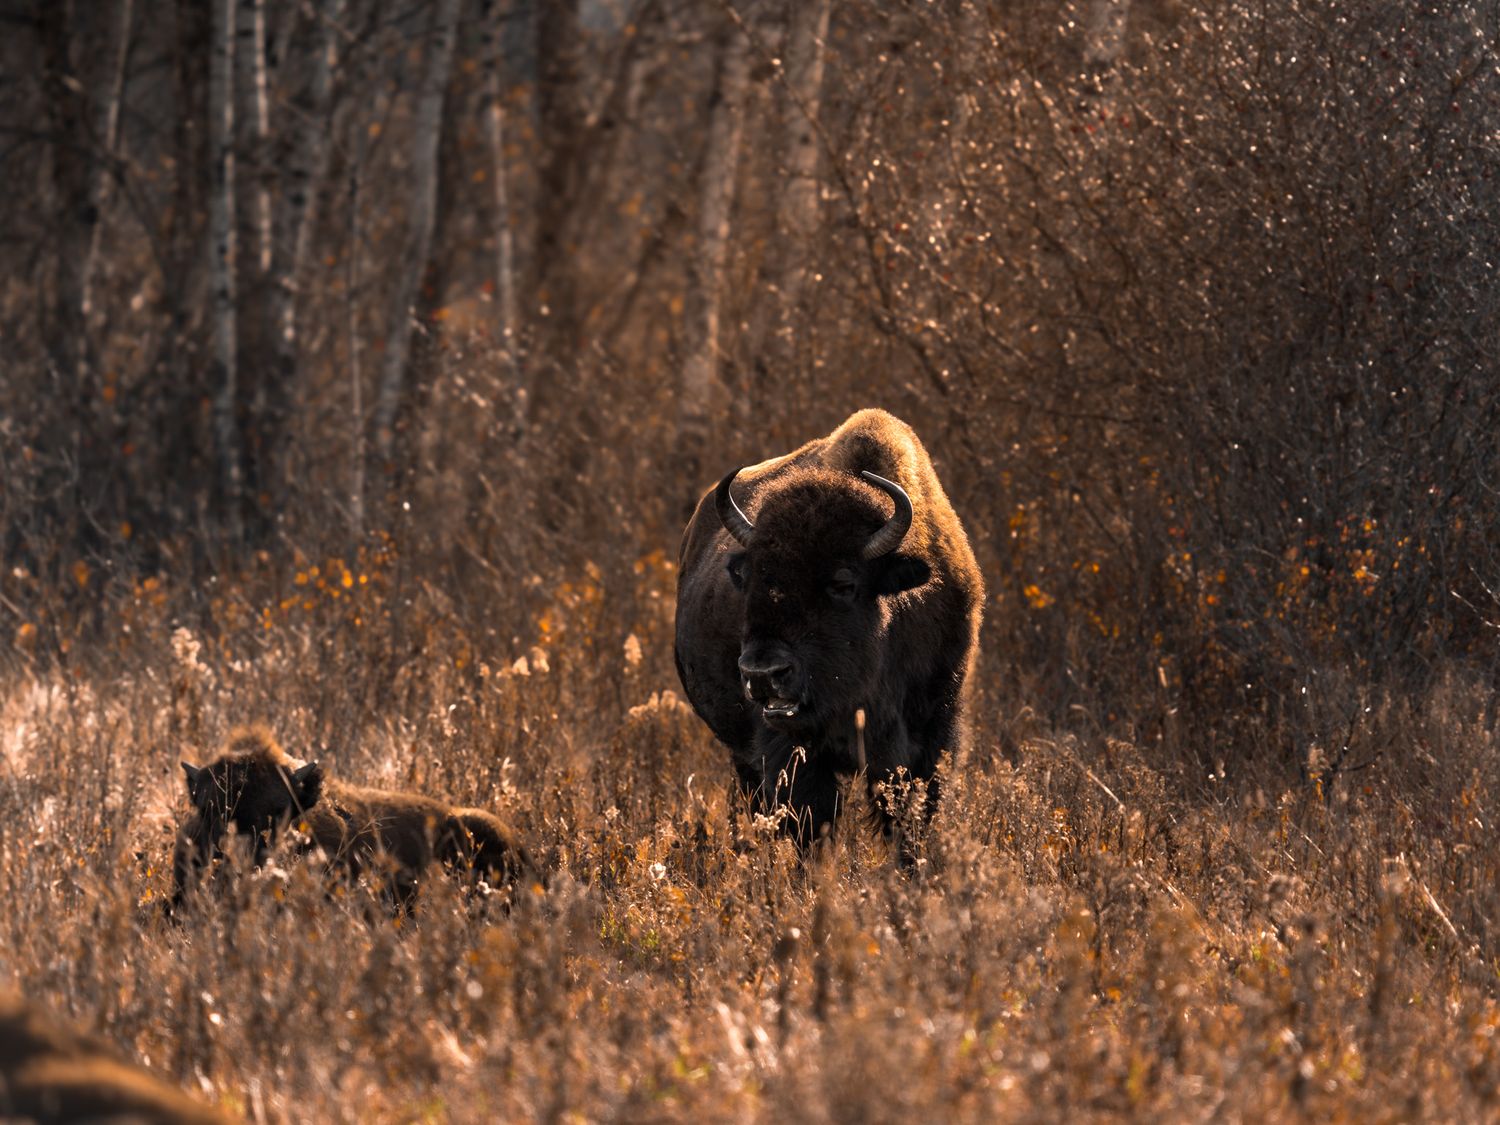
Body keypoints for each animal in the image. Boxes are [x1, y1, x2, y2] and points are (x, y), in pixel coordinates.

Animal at [674, 409, 984, 856]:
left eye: (843, 583)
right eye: (749, 577)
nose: (762, 673)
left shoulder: (928, 739)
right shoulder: (791, 751)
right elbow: (812, 824)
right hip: (743, 755)